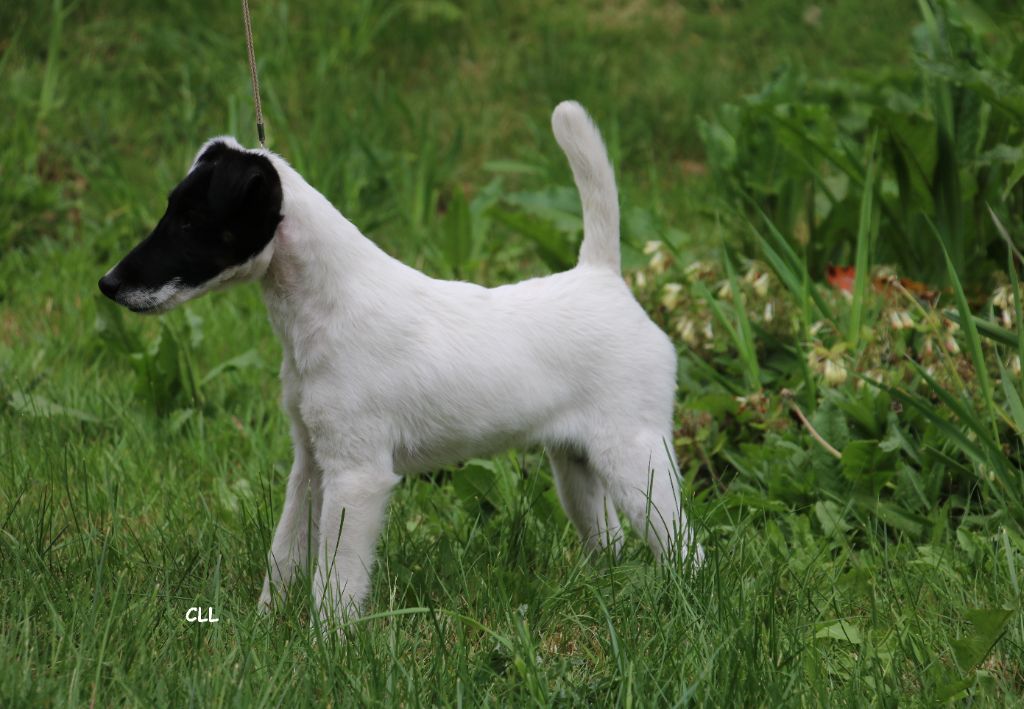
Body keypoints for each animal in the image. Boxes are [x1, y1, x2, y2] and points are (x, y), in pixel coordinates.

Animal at [99, 102, 700, 622]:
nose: (107, 284)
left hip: (635, 457)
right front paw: (265, 627)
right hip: (576, 467)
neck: (327, 305)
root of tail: (603, 277)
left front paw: (327, 645)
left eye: (188, 221)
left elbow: (335, 578)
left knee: (684, 546)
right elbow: (285, 555)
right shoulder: (311, 463)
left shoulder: (357, 476)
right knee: (609, 539)